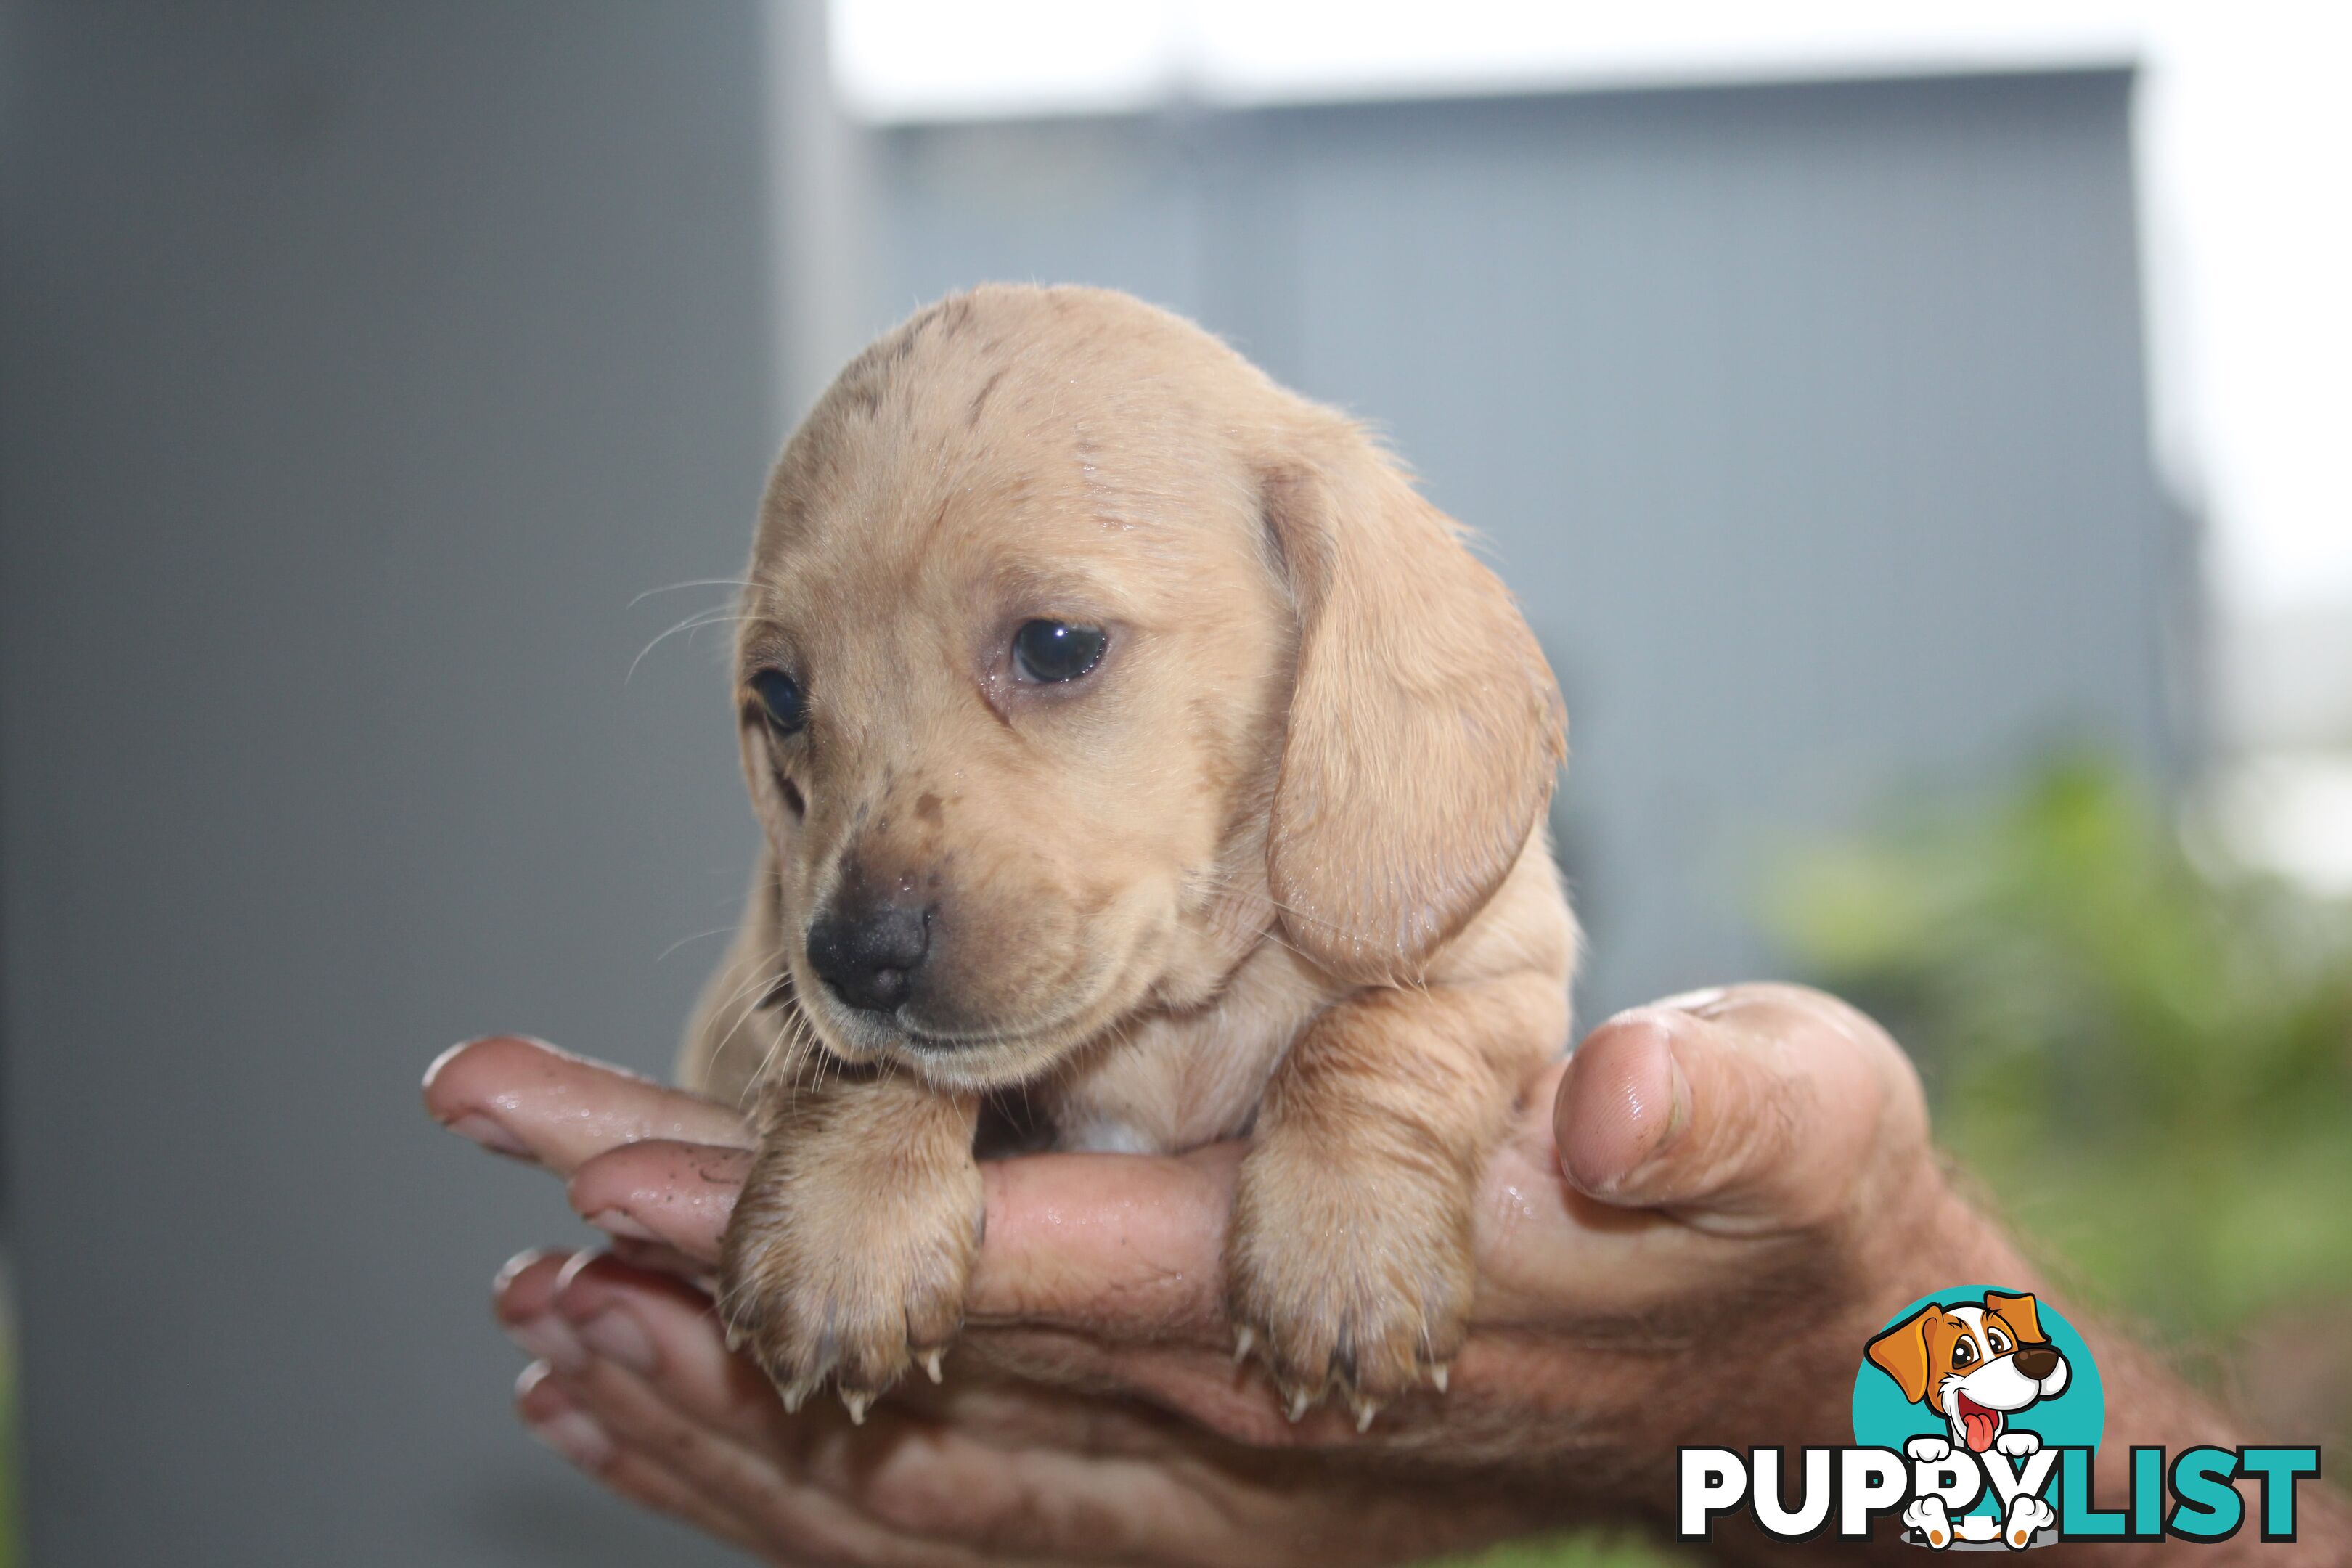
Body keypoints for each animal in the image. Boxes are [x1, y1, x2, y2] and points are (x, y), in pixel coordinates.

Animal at [687, 287, 1590, 1429]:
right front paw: (847, 1220)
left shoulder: (1510, 978)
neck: (1171, 1016)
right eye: (780, 698)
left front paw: (1342, 1246)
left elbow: (1377, 1035)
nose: (853, 959)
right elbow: (859, 1069)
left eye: (1056, 646)